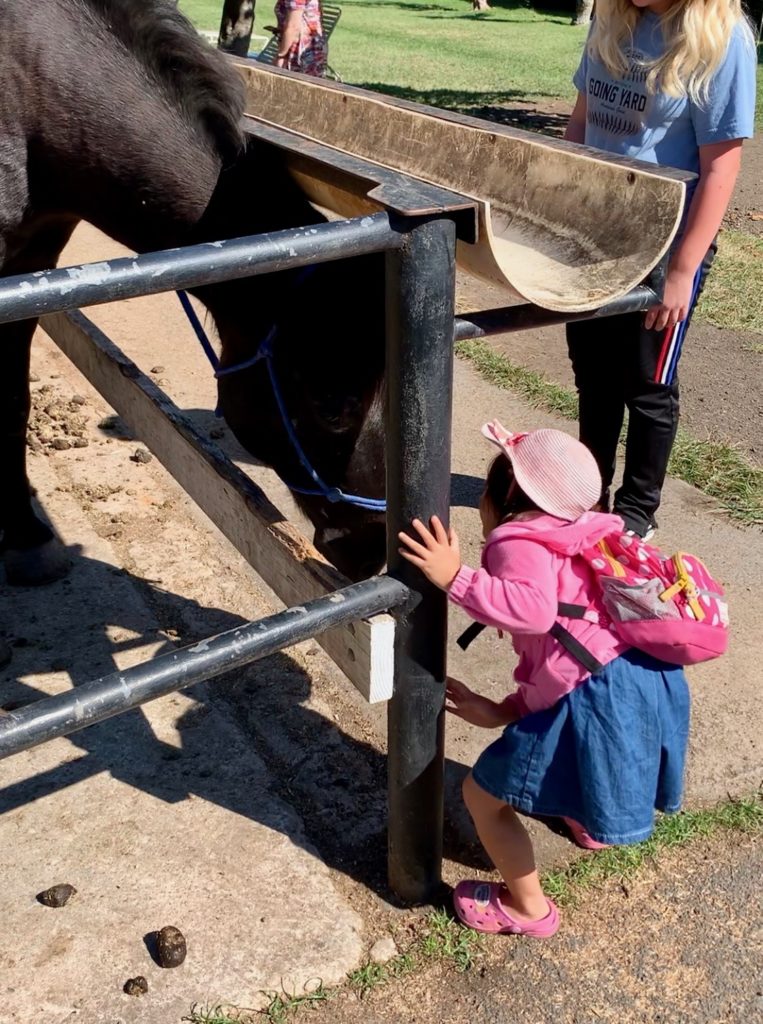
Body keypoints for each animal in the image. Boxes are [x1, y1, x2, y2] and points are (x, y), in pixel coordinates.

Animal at [1, 0, 387, 589]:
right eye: (332, 406)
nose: (373, 552)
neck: (33, 86)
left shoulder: (34, 261)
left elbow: (13, 396)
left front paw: (26, 533)